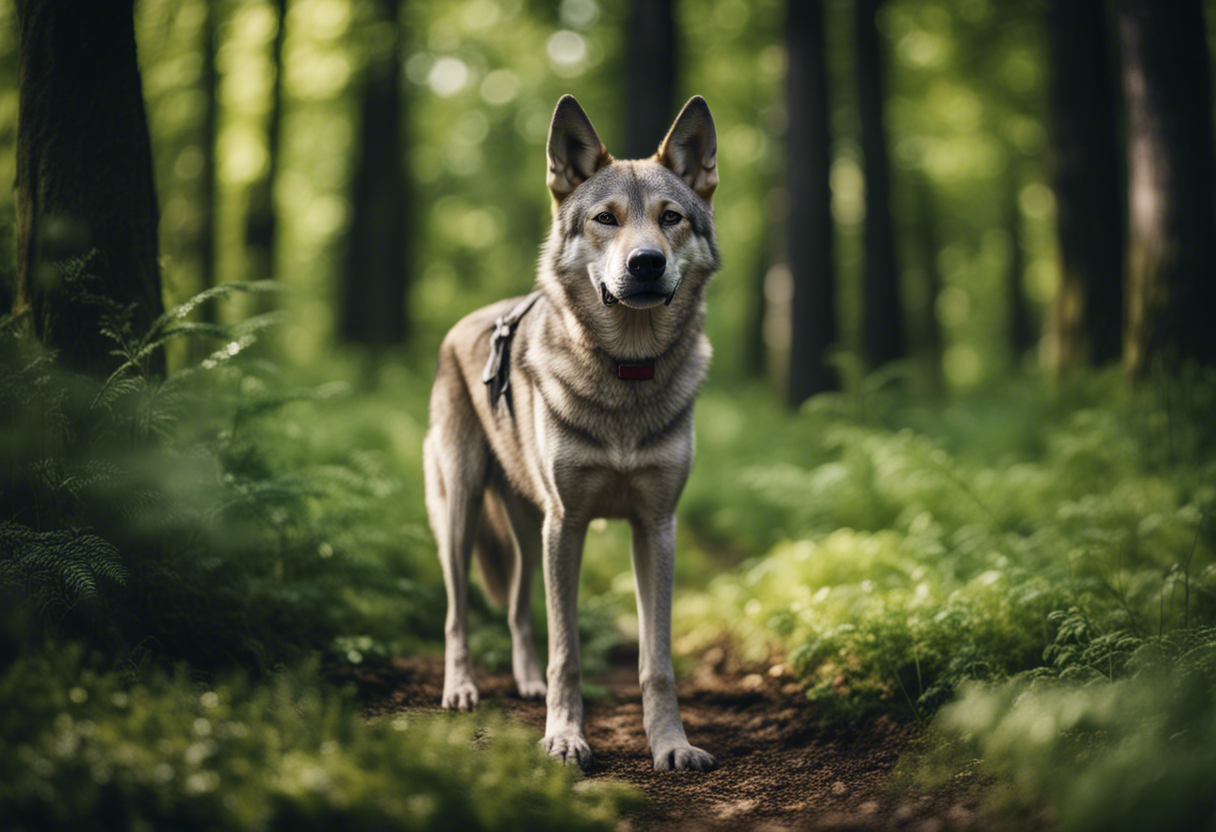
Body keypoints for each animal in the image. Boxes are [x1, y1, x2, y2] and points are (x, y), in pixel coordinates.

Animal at [423, 94, 715, 768]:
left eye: (671, 218)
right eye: (606, 219)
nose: (646, 263)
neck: (626, 373)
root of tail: (462, 325)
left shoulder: (655, 527)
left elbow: (657, 660)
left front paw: (671, 744)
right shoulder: (570, 524)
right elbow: (569, 652)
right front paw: (564, 737)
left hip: (531, 532)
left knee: (517, 610)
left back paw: (526, 683)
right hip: (464, 517)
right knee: (456, 615)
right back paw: (462, 691)